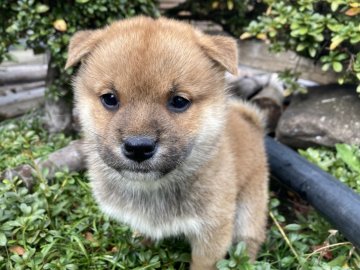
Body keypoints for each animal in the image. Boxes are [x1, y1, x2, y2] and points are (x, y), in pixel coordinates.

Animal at [65, 16, 268, 268]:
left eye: (179, 101)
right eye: (109, 98)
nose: (138, 148)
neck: (152, 189)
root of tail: (252, 124)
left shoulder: (212, 236)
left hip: (249, 210)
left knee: (249, 242)